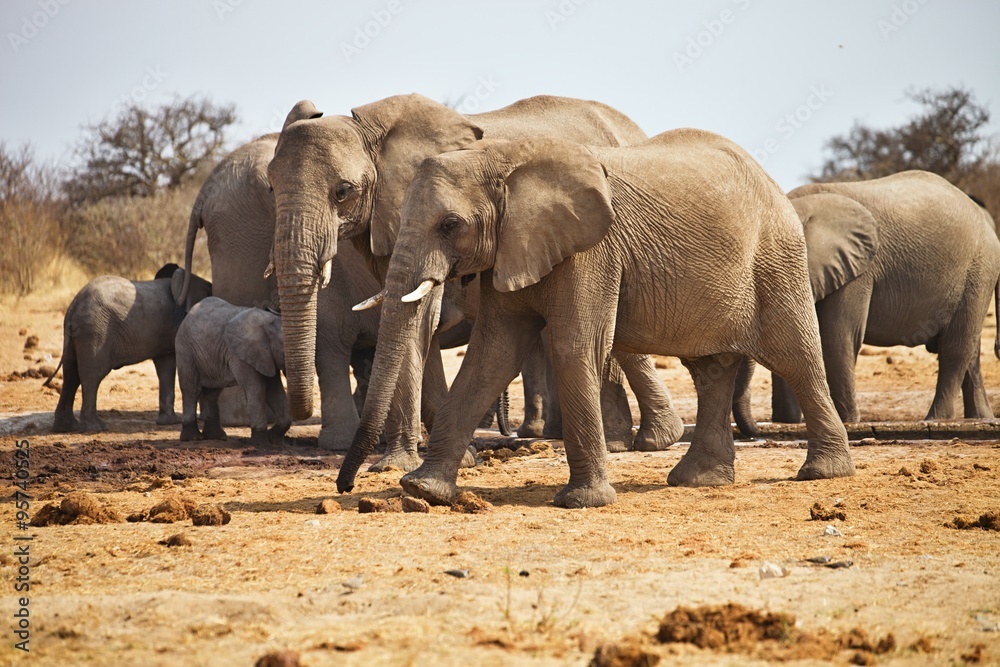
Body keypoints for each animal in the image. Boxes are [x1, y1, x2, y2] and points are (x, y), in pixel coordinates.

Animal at [49, 263, 212, 433]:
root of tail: (73, 307)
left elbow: (166, 366)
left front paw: (169, 422)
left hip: (79, 334)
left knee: (71, 373)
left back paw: (66, 427)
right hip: (95, 331)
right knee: (92, 375)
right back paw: (96, 427)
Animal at [176, 297, 290, 446]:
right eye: (284, 355)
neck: (267, 324)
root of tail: (187, 316)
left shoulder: (266, 357)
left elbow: (275, 391)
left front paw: (274, 439)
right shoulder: (240, 355)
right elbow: (256, 390)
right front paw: (260, 443)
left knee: (212, 393)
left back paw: (216, 437)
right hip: (185, 350)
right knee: (191, 389)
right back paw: (193, 438)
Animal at [268, 93, 684, 473]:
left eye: (343, 191)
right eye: (270, 188)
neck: (367, 133)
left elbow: (417, 319)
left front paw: (396, 466)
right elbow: (409, 319)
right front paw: (457, 458)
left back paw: (636, 442)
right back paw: (641, 439)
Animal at [350, 131, 855, 508]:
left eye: (450, 225)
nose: (347, 484)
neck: (503, 157)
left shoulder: (593, 252)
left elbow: (573, 347)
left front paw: (581, 502)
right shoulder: (512, 248)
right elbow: (492, 355)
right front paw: (423, 489)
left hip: (777, 258)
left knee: (795, 356)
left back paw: (822, 473)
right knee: (710, 369)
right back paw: (697, 481)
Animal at [732, 171, 1000, 431]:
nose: (758, 429)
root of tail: (987, 221)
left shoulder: (859, 272)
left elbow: (839, 336)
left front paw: (847, 420)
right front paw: (787, 421)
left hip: (978, 270)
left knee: (955, 347)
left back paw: (936, 420)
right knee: (971, 353)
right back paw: (979, 418)